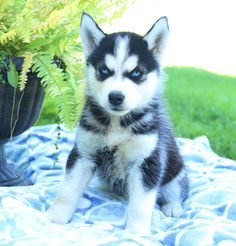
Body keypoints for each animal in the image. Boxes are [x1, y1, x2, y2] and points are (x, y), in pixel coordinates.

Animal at [47, 13, 189, 233]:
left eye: (136, 73)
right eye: (104, 70)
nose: (115, 97)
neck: (117, 123)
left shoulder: (147, 162)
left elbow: (141, 205)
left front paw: (136, 232)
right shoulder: (83, 153)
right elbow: (68, 191)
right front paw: (56, 218)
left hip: (176, 171)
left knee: (176, 191)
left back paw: (172, 206)